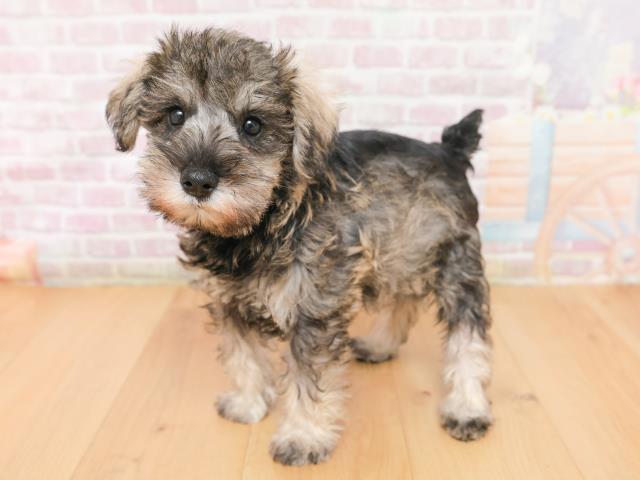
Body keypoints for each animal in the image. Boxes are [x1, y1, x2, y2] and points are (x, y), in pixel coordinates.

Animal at [106, 27, 493, 466]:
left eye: (253, 125)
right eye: (175, 114)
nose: (198, 181)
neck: (261, 224)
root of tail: (449, 150)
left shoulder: (313, 311)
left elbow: (310, 380)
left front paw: (303, 437)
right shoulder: (230, 302)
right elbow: (244, 356)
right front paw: (248, 403)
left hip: (457, 266)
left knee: (468, 338)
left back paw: (467, 407)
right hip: (402, 251)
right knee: (403, 300)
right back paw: (379, 345)